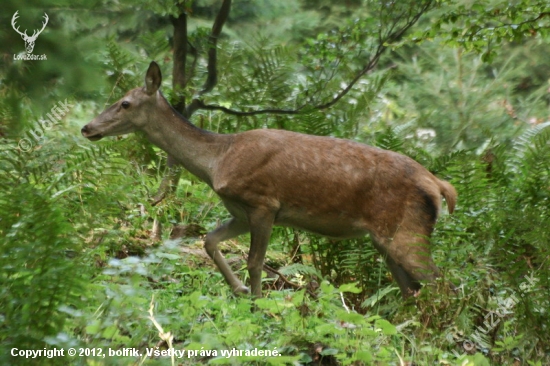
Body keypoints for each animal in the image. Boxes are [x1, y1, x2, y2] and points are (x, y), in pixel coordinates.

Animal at [82, 61, 460, 298]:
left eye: (125, 103)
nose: (87, 127)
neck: (217, 160)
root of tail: (439, 185)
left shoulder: (264, 203)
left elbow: (255, 261)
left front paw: (257, 301)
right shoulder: (240, 210)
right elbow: (209, 240)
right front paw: (239, 289)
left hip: (407, 231)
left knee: (442, 283)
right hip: (387, 239)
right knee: (413, 289)